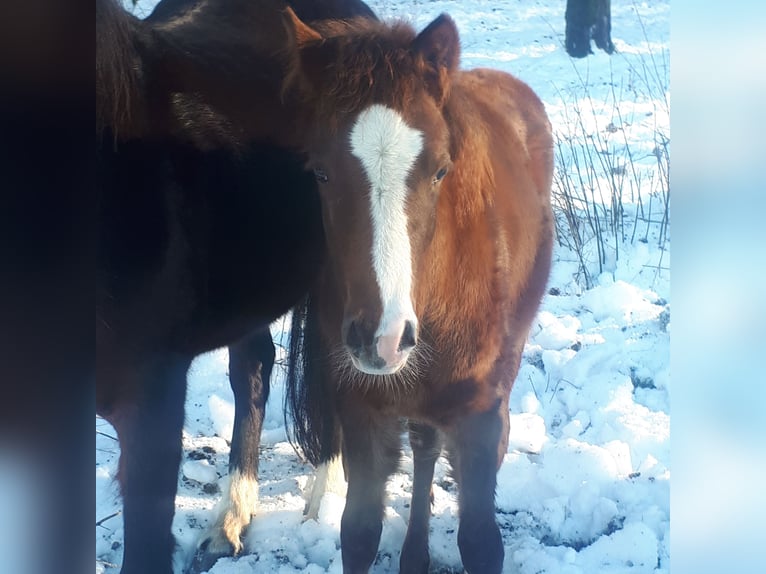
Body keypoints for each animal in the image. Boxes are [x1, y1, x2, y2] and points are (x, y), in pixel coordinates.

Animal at [284, 10, 556, 574]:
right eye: (320, 171)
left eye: (440, 170)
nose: (380, 338)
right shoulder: (361, 414)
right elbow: (358, 532)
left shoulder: (478, 415)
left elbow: (480, 541)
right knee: (425, 443)